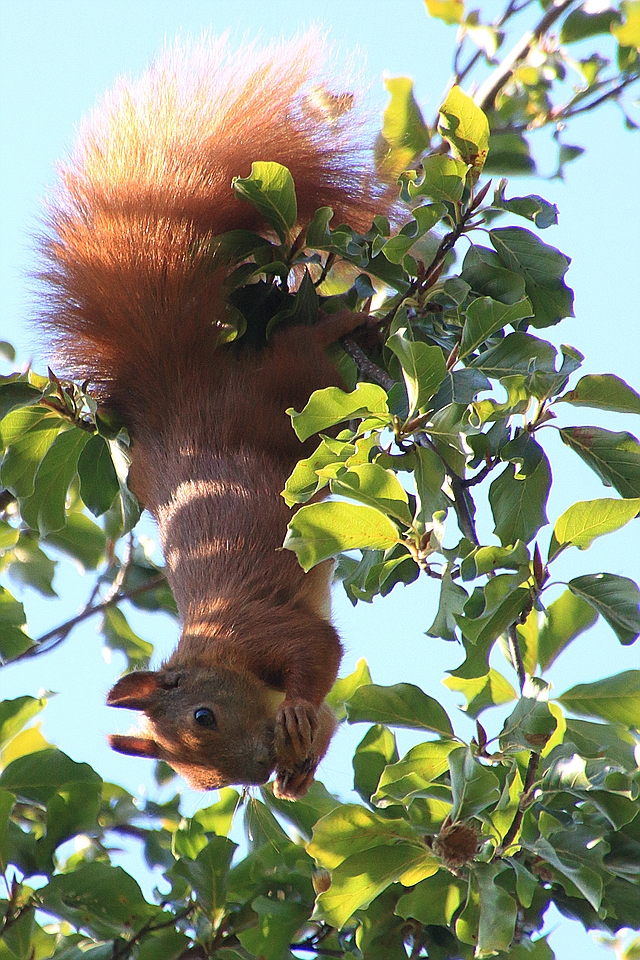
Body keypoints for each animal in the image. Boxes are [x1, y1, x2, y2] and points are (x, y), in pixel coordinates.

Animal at [40, 37, 388, 800]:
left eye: (203, 716)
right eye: (205, 783)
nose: (258, 770)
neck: (214, 647)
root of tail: (179, 397)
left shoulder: (265, 625)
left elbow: (320, 650)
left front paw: (295, 715)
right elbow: (324, 714)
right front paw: (297, 769)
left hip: (282, 391)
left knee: (305, 350)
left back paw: (355, 321)